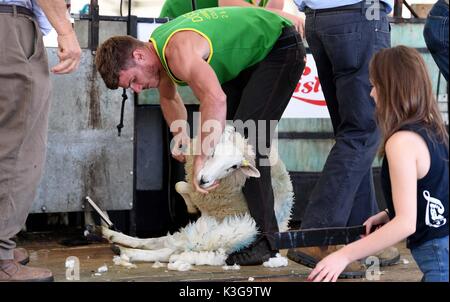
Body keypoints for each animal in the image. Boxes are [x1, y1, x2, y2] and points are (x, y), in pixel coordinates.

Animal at [100, 125, 294, 266]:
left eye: (233, 167)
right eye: (213, 152)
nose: (204, 180)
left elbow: (182, 187)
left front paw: (191, 206)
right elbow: (180, 185)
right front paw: (191, 206)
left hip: (214, 237)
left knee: (167, 251)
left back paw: (126, 252)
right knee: (158, 242)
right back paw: (114, 237)